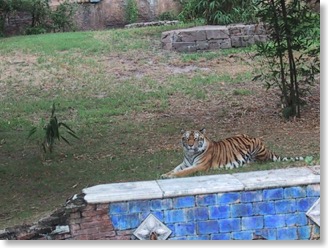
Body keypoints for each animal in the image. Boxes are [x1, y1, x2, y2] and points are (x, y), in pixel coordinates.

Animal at [160, 128, 304, 178]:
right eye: (186, 138)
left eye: (195, 139)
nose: (190, 145)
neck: (190, 154)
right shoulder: (184, 164)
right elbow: (175, 169)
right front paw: (165, 174)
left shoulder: (200, 166)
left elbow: (183, 172)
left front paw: (170, 176)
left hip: (256, 148)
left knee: (260, 162)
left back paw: (247, 164)